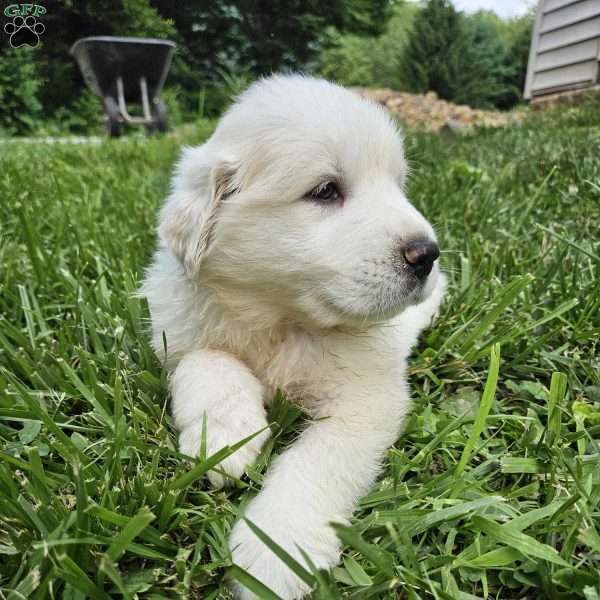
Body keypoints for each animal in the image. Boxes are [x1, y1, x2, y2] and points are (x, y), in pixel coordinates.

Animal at [139, 76, 440, 600]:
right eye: (325, 191)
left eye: (397, 186)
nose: (427, 253)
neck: (281, 319)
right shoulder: (179, 334)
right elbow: (207, 360)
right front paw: (227, 433)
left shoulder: (365, 402)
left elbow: (315, 463)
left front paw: (275, 549)